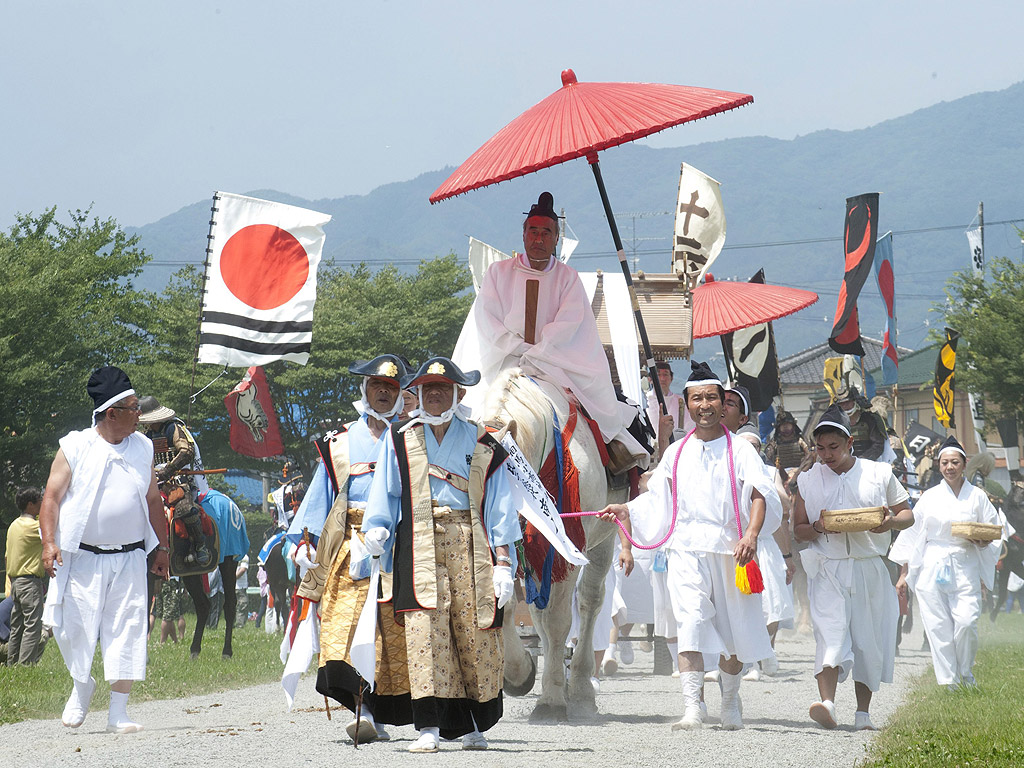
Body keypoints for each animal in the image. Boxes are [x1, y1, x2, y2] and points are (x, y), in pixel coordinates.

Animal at [483, 370, 626, 720]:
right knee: (540, 615)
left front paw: (551, 700)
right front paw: (518, 673)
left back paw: (580, 689)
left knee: (588, 602)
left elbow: (560, 619)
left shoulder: (567, 548)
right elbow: (509, 607)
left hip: (603, 539)